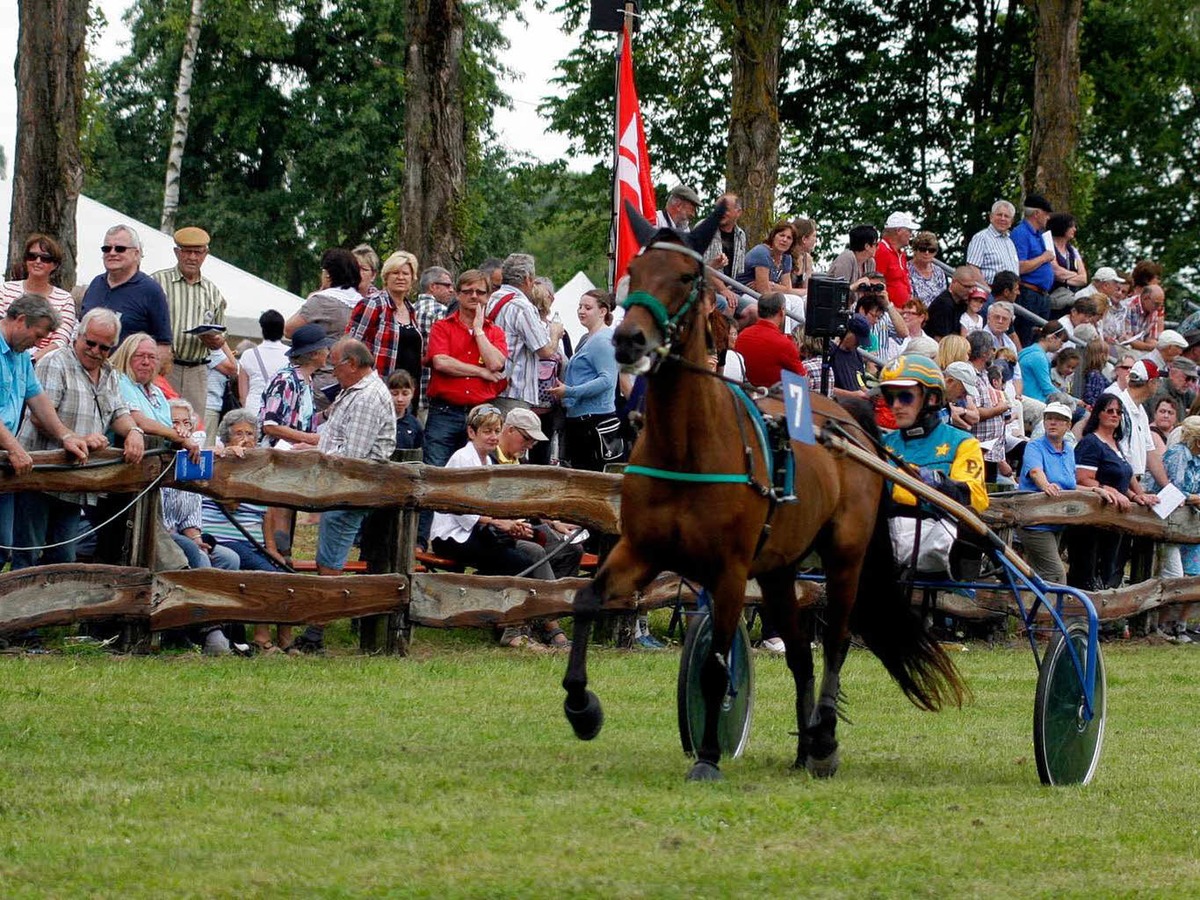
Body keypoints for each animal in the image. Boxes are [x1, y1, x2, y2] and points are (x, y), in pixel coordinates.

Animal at [559, 204, 964, 782]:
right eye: (632, 274)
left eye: (686, 276)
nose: (628, 341)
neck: (688, 448)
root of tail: (851, 422)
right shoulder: (641, 549)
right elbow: (586, 600)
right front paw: (582, 708)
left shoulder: (729, 571)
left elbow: (716, 665)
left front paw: (708, 756)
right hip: (779, 569)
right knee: (800, 652)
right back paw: (804, 747)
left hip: (844, 556)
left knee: (835, 641)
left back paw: (824, 741)